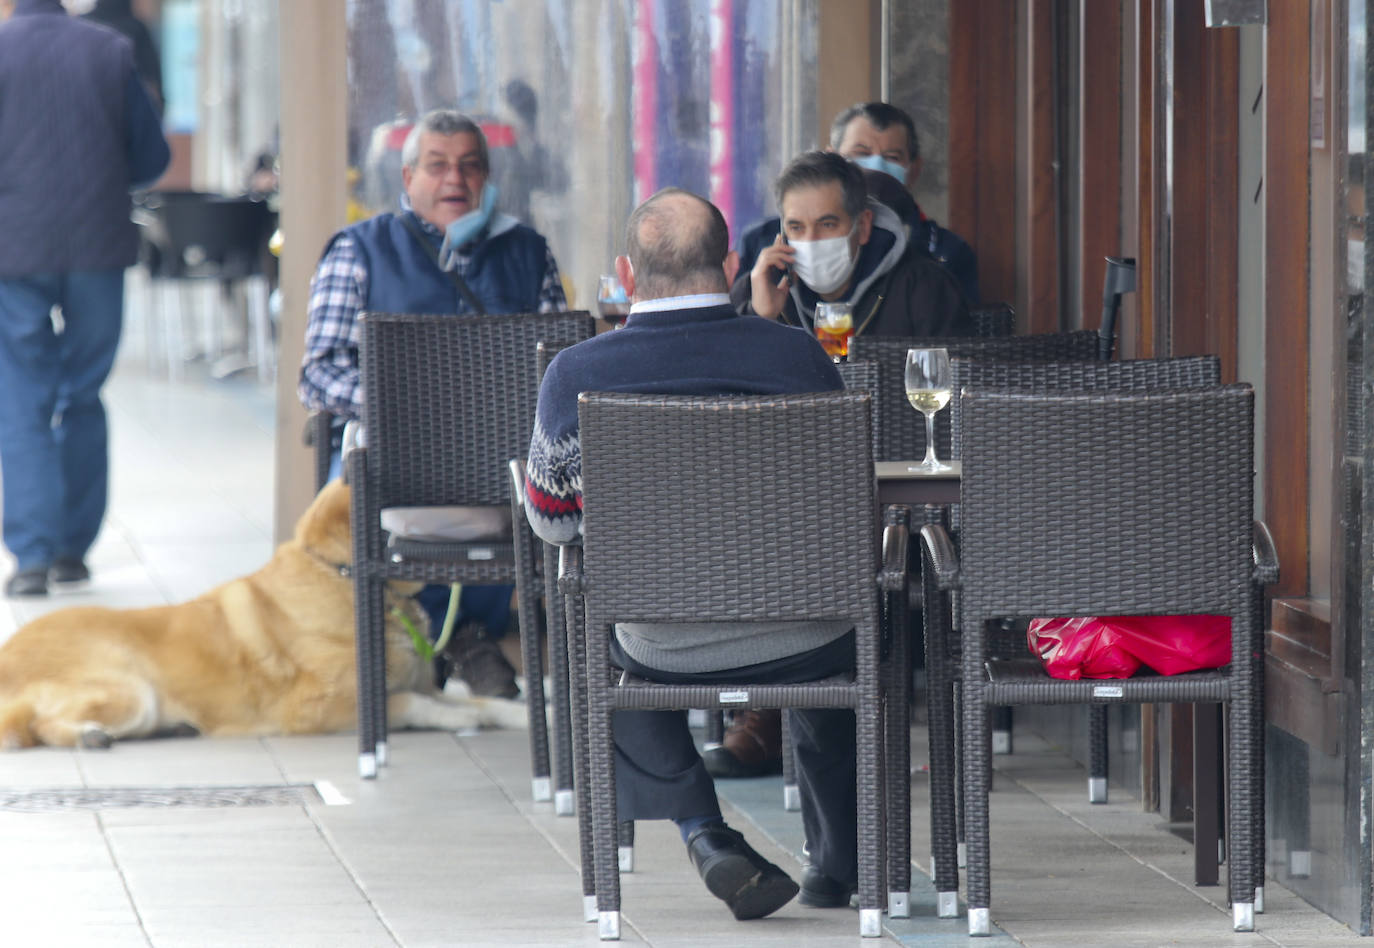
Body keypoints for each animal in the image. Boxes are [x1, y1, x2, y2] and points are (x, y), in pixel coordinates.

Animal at [0, 480, 524, 747]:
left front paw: (518, 715)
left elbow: (485, 702)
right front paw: (455, 718)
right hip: (130, 688)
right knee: (39, 727)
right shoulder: (315, 709)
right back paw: (90, 736)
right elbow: (417, 703)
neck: (338, 572)